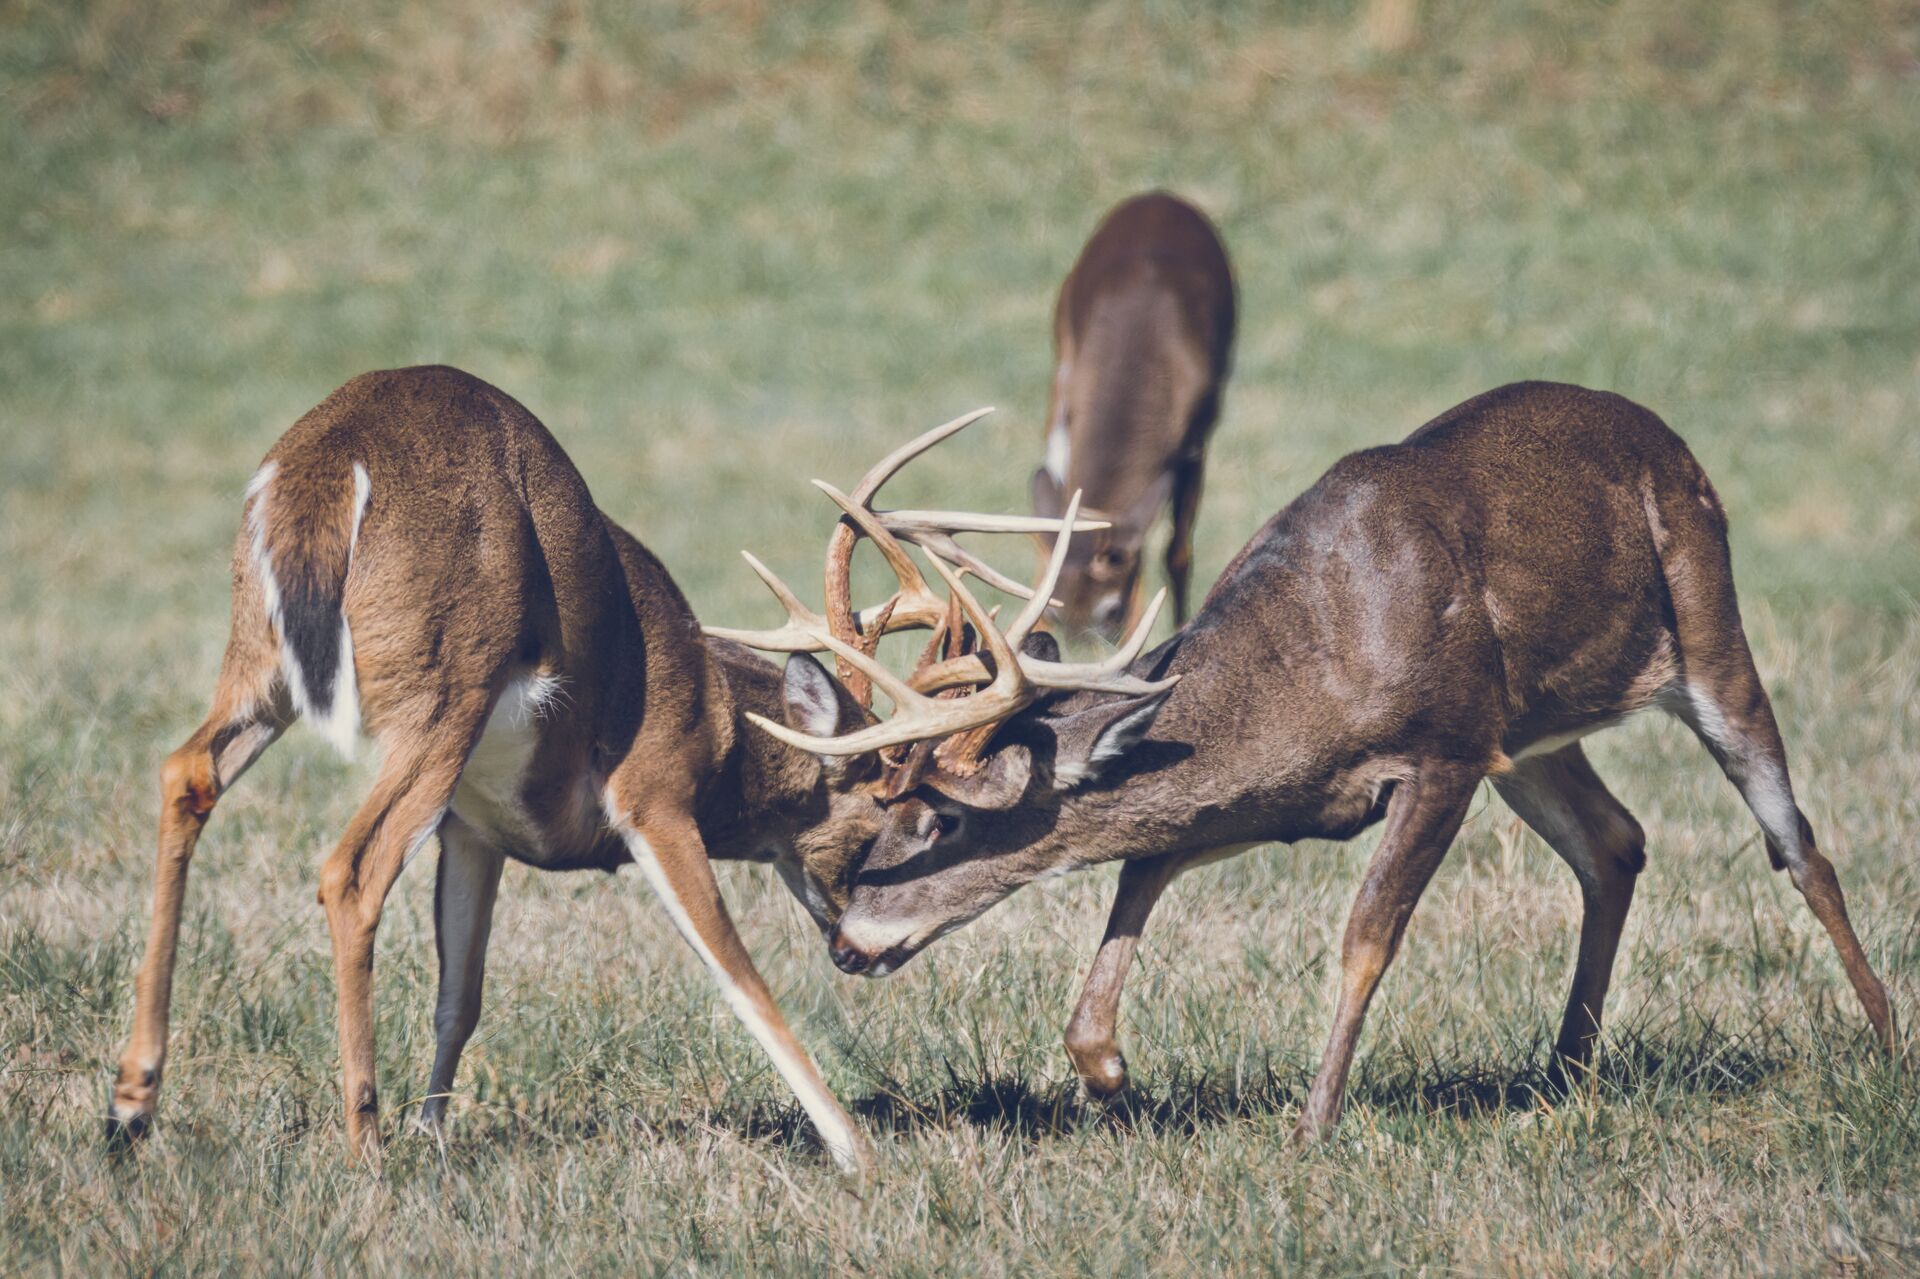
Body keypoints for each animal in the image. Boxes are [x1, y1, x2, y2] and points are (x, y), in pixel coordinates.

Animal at [108, 362, 1098, 1167]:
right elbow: (741, 976)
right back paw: (364, 1147)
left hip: (261, 657)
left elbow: (460, 993)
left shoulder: (473, 824)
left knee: (185, 770)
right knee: (351, 868)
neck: (717, 718)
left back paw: (132, 1105)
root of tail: (324, 465)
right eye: (920, 815)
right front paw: (859, 1152)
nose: (860, 951)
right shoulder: (653, 792)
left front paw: (435, 1133)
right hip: (446, 684)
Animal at [725, 378, 1896, 1136]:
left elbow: (1366, 936)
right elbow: (1134, 879)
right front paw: (1114, 1080)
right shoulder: (1272, 798)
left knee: (1795, 840)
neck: (1308, 670)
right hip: (1528, 736)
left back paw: (1883, 1037)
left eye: (946, 816)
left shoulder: (1443, 749)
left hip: (1701, 621)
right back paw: (1563, 1073)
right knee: (1616, 842)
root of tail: (1668, 436)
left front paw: (1314, 1122)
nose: (848, 943)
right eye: (882, 808)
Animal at [1029, 188, 1236, 637]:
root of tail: (1161, 196)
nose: (1078, 638)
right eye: (1057, 615)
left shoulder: (1195, 438)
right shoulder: (1069, 385)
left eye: (1111, 613)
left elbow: (1177, 551)